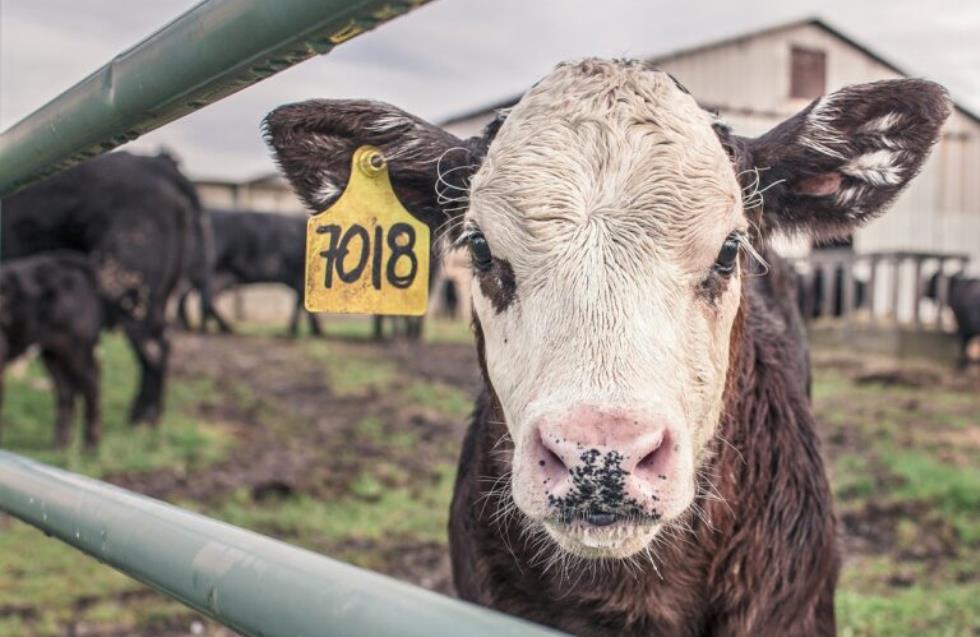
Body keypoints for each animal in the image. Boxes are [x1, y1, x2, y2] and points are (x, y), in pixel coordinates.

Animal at [0, 252, 103, 448]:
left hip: (78, 348)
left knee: (91, 385)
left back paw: (90, 446)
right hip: (52, 352)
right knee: (65, 389)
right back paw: (60, 444)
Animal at [172, 209, 318, 338]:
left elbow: (301, 302)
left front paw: (310, 331)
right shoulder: (299, 276)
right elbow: (301, 302)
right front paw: (306, 331)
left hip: (218, 274)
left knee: (194, 295)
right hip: (206, 269)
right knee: (199, 297)